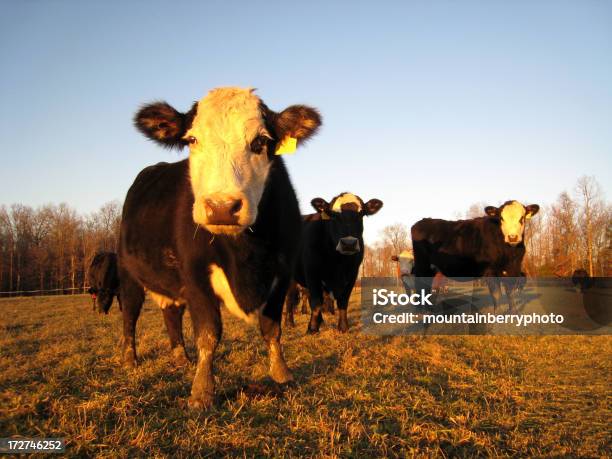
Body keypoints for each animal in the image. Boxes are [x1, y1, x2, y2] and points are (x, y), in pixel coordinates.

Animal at [117, 86, 322, 410]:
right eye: (192, 140)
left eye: (261, 142)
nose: (222, 207)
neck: (247, 255)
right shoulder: (195, 275)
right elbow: (209, 333)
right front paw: (202, 392)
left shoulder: (282, 273)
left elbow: (272, 328)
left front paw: (282, 374)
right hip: (128, 274)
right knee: (130, 316)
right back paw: (130, 359)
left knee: (171, 314)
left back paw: (181, 357)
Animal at [288, 192, 382, 332]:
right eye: (333, 215)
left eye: (361, 213)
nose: (349, 243)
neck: (337, 263)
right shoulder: (312, 273)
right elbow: (316, 302)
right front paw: (312, 329)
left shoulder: (352, 275)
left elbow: (342, 302)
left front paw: (343, 327)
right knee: (289, 300)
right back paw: (289, 323)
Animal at [412, 201, 540, 312]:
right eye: (501, 218)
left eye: (522, 218)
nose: (512, 237)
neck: (510, 252)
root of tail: (422, 221)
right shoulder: (490, 270)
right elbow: (497, 294)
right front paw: (497, 315)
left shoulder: (513, 268)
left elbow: (510, 293)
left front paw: (513, 313)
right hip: (422, 265)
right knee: (420, 285)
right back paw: (423, 311)